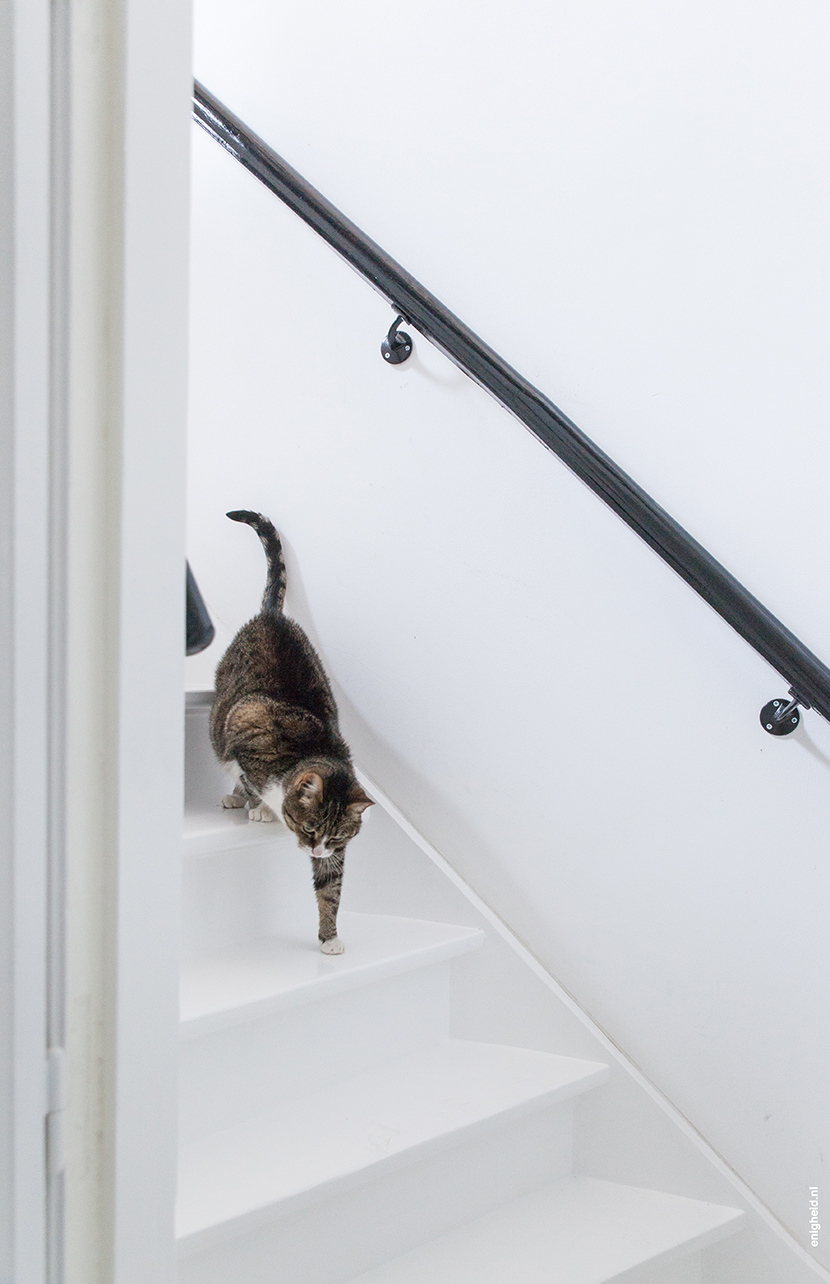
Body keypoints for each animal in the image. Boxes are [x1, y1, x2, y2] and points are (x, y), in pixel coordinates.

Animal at [211, 511, 375, 955]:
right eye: (310, 829)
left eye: (335, 838)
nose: (315, 848)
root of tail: (273, 616)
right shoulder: (245, 724)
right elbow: (250, 777)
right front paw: (260, 807)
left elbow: (330, 888)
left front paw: (329, 937)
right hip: (220, 713)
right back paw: (237, 798)